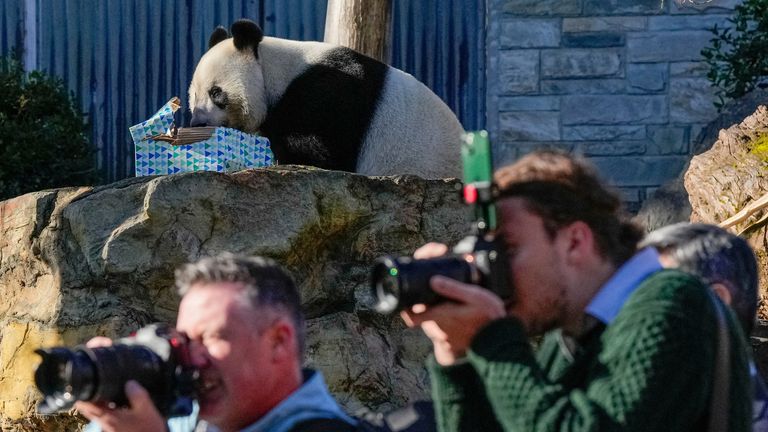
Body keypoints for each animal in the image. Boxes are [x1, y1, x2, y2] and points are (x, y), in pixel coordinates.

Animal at [186, 19, 462, 178]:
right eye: (194, 97)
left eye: (216, 92)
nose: (198, 124)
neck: (276, 72)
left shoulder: (327, 96)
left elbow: (321, 153)